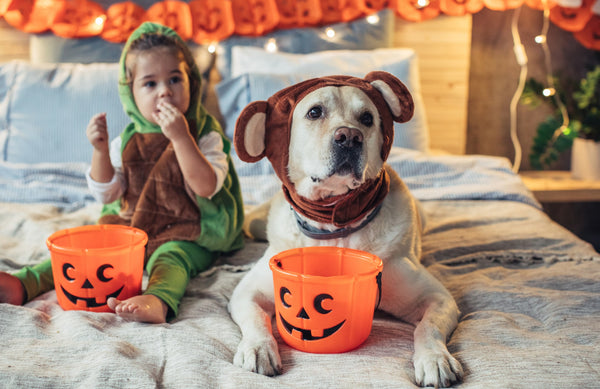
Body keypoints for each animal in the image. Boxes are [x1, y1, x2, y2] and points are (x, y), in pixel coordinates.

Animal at [227, 72, 462, 384]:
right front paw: (258, 348)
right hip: (253, 225)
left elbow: (428, 327)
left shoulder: (437, 298)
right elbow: (256, 318)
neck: (332, 227)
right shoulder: (248, 292)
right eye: (315, 112)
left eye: (367, 118)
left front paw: (435, 359)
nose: (350, 137)